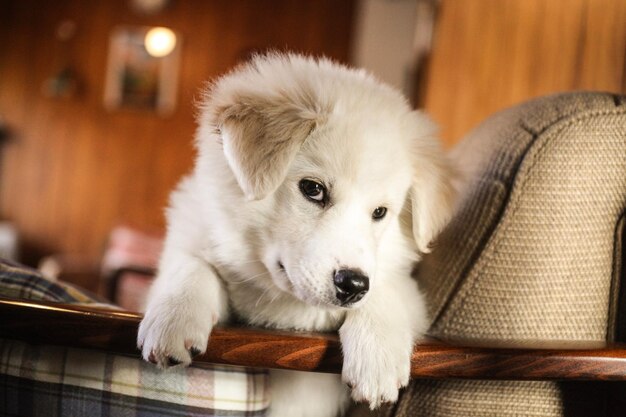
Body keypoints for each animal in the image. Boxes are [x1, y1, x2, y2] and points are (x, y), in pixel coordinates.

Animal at [136, 53, 454, 414]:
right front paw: (173, 321)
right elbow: (191, 266)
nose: (352, 285)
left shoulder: (404, 289)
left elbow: (387, 289)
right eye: (313, 189)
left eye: (380, 213)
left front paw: (378, 357)